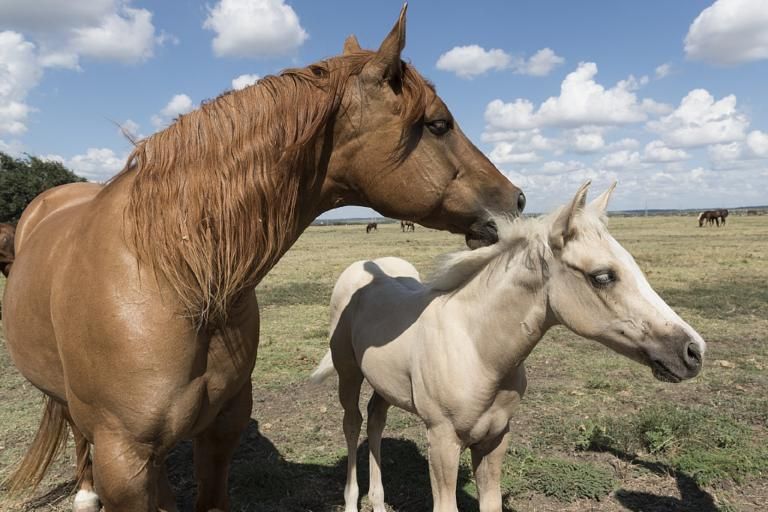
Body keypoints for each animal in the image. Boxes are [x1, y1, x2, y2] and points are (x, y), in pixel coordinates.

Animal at [1, 6, 524, 511]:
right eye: (438, 124)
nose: (517, 200)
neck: (172, 279)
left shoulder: (220, 432)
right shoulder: (122, 455)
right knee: (75, 427)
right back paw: (85, 492)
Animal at [311, 181, 705, 512]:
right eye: (603, 276)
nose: (693, 351)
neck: (477, 349)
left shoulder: (495, 438)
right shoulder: (442, 441)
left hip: (385, 383)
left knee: (376, 419)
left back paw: (377, 502)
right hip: (348, 374)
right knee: (353, 423)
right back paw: (352, 501)